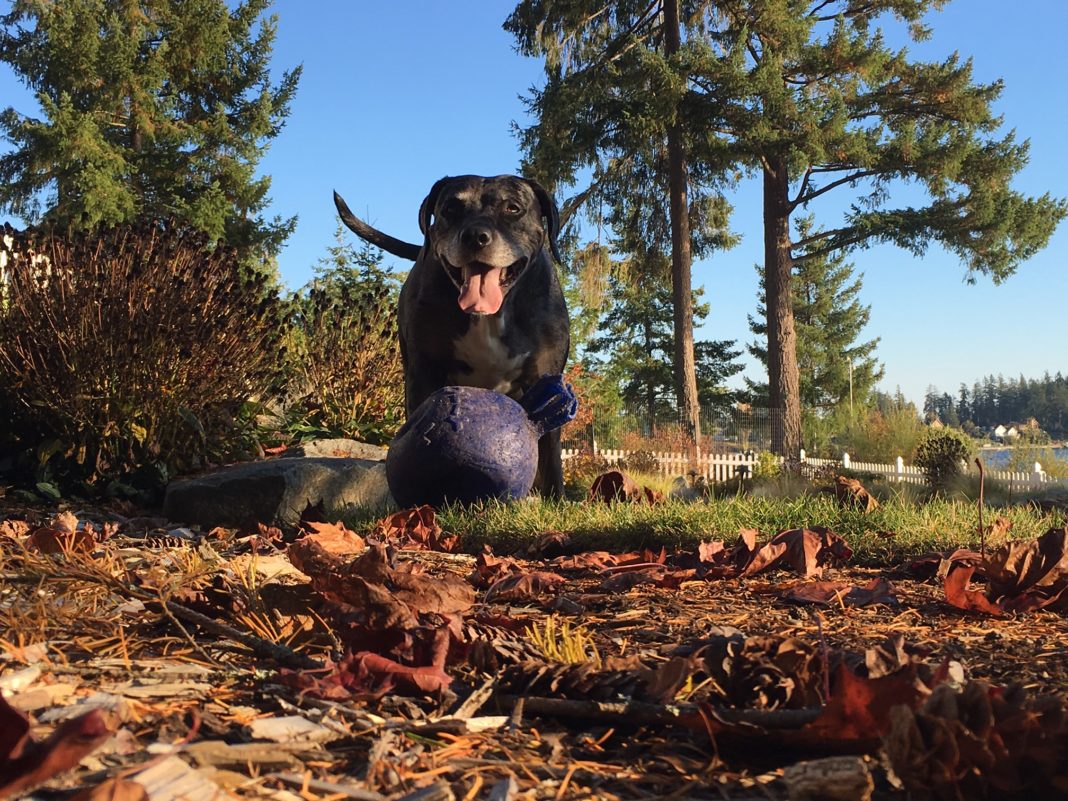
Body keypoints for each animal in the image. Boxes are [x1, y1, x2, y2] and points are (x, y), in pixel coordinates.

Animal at [333, 177, 572, 495]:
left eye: (513, 208)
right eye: (450, 209)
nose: (475, 236)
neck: (490, 315)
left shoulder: (545, 379)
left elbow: (550, 455)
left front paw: (555, 498)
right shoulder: (423, 374)